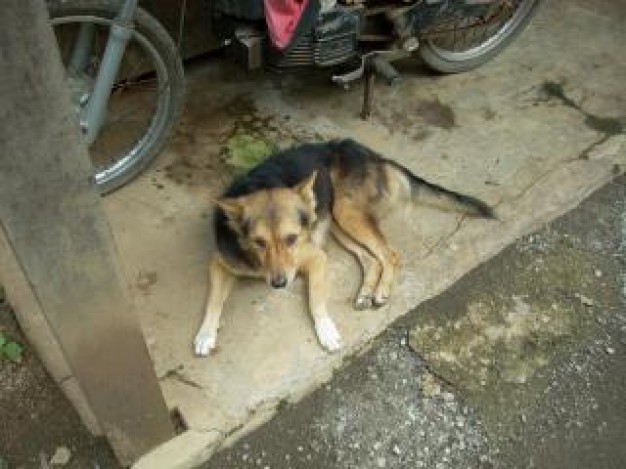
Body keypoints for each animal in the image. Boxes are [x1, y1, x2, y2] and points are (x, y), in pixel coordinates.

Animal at [193, 139, 494, 354]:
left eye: (291, 239)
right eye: (259, 242)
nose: (278, 284)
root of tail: (372, 155)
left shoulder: (316, 258)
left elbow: (316, 301)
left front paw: (326, 331)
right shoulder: (218, 263)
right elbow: (213, 301)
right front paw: (206, 334)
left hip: (345, 211)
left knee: (390, 254)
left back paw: (381, 291)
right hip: (335, 219)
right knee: (371, 259)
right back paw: (365, 293)